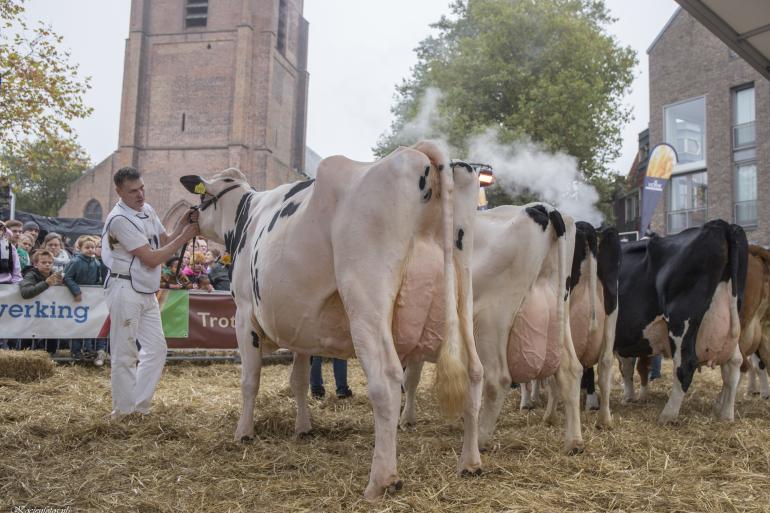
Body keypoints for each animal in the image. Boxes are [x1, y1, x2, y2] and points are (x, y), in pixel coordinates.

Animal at [178, 141, 480, 500]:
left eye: (202, 198)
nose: (190, 218)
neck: (245, 216)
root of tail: (417, 153)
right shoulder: (300, 326)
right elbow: (298, 380)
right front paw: (303, 428)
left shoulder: (244, 314)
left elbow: (250, 380)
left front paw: (244, 432)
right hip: (462, 297)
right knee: (475, 372)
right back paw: (470, 462)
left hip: (366, 298)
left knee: (387, 379)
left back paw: (381, 480)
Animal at [396, 203, 584, 452]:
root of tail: (542, 207)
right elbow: (412, 376)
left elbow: (406, 377)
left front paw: (404, 420)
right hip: (558, 314)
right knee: (571, 369)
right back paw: (574, 441)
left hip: (490, 321)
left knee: (498, 379)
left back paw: (479, 439)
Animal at [612, 220, 744, 424]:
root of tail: (719, 225)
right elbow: (626, 365)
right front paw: (628, 396)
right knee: (733, 365)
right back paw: (726, 415)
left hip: (681, 322)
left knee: (685, 365)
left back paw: (667, 415)